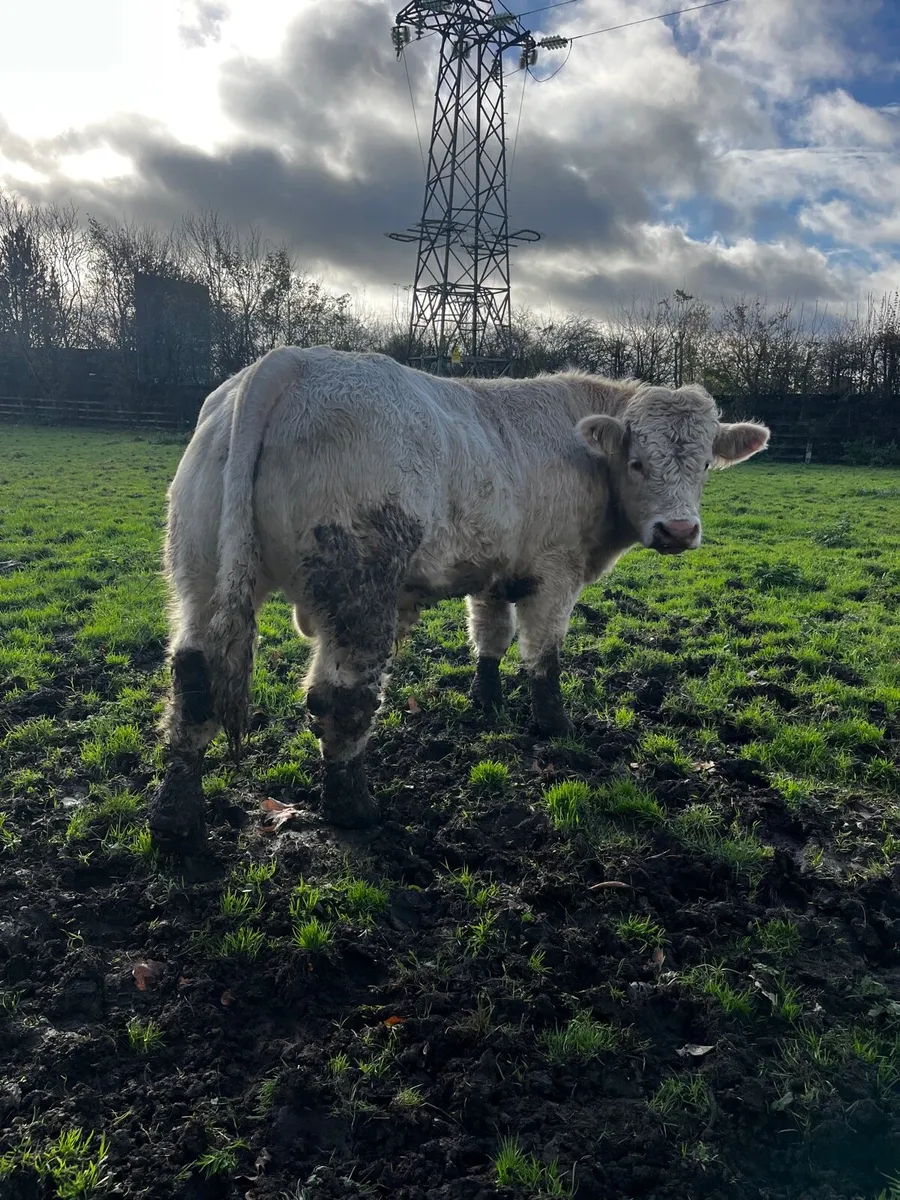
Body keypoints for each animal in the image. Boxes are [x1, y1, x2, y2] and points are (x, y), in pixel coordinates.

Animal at [148, 345, 769, 847]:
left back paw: (176, 820)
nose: (679, 531)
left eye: (705, 465)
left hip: (199, 573)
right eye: (637, 462)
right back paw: (354, 809)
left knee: (193, 682)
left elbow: (491, 635)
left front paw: (486, 701)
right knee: (340, 698)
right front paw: (555, 726)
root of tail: (289, 361)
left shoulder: (494, 571)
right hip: (359, 591)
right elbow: (543, 653)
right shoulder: (556, 572)